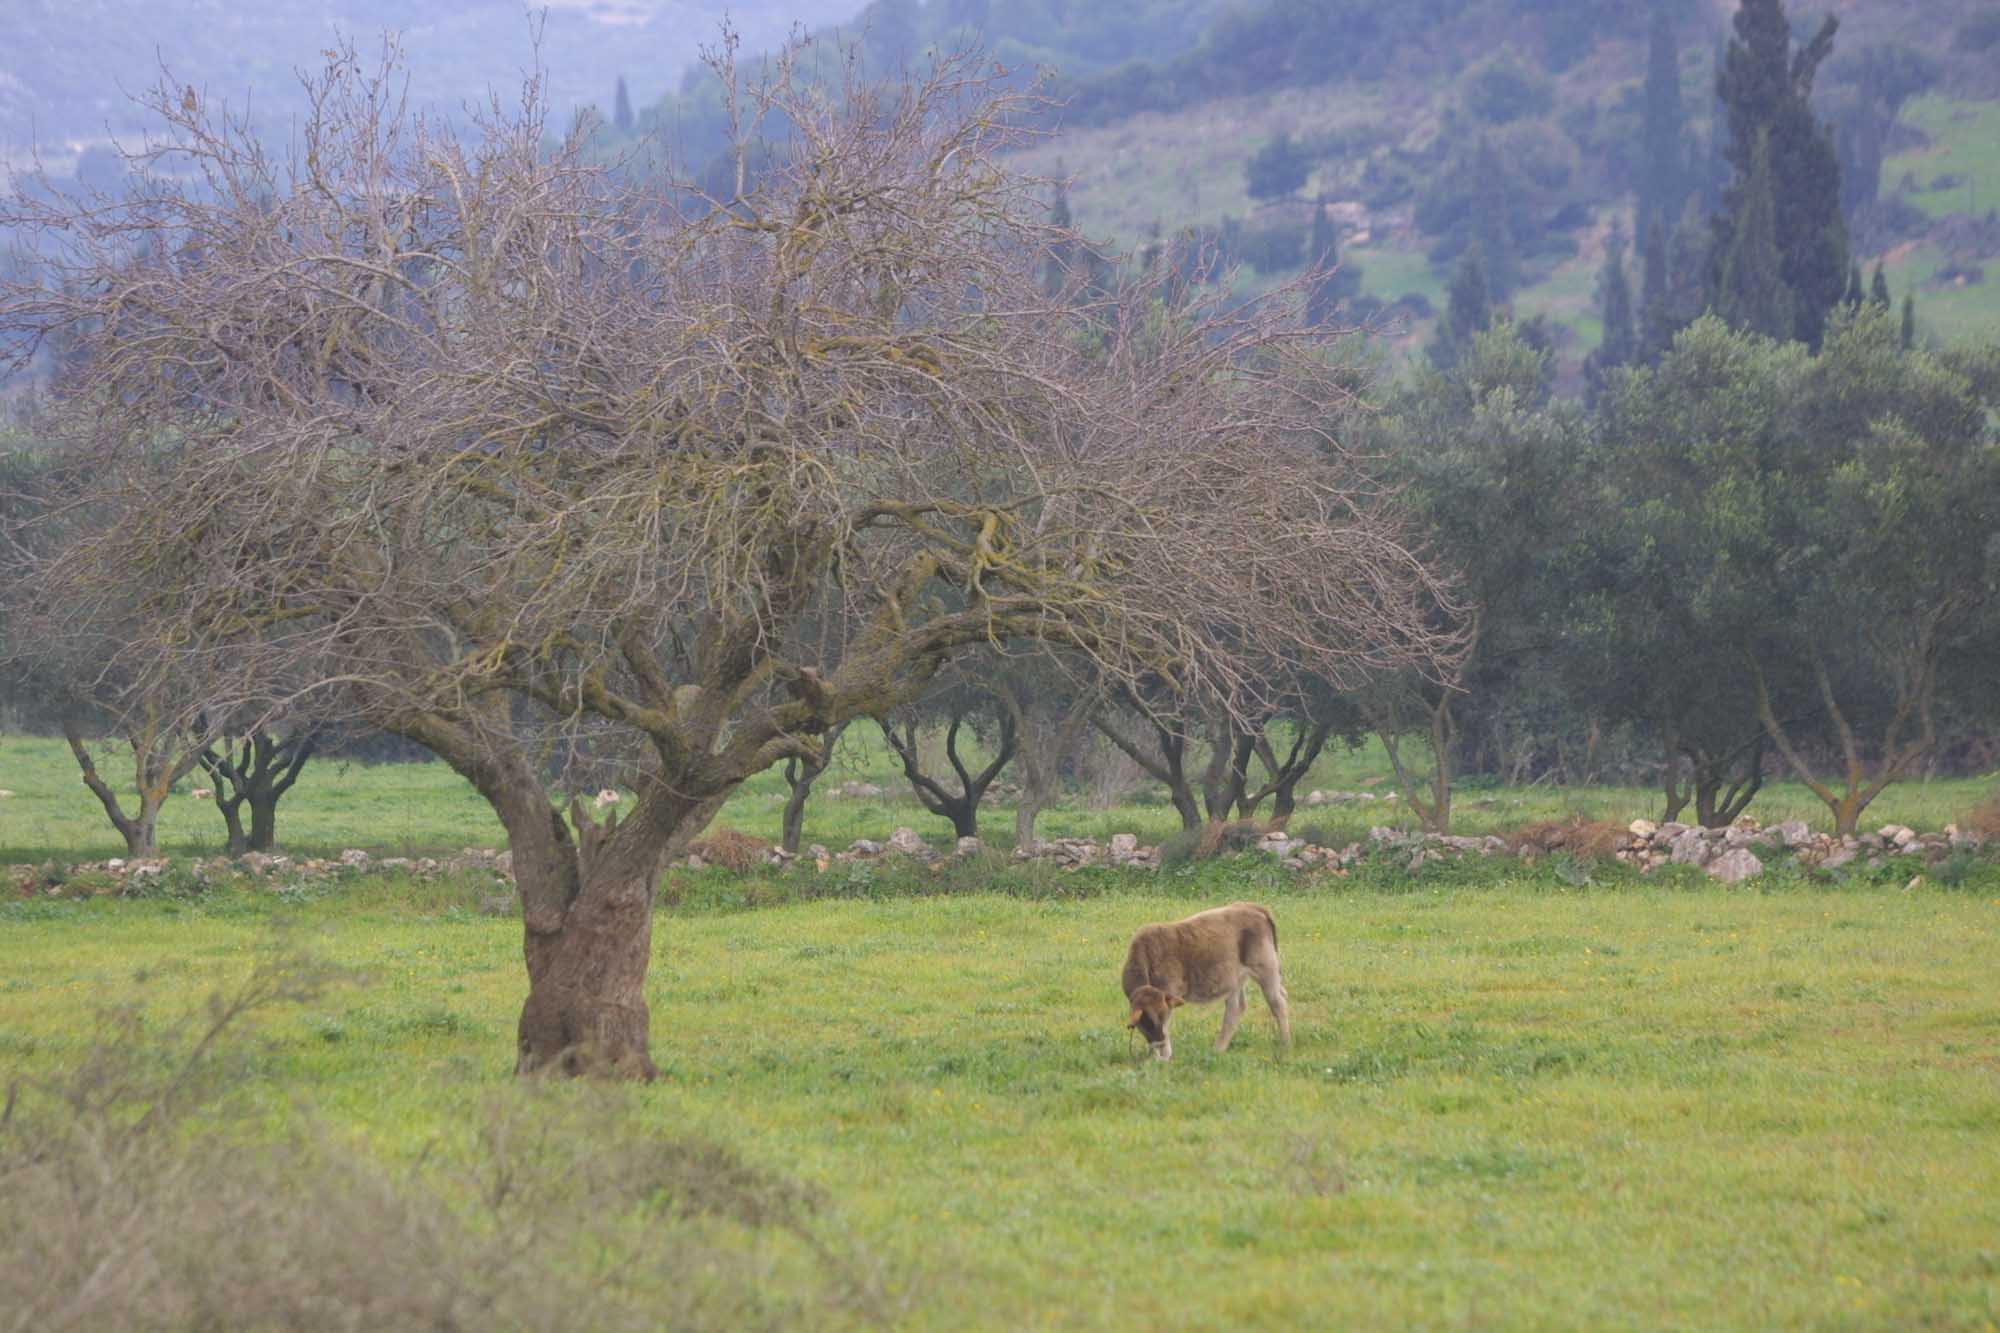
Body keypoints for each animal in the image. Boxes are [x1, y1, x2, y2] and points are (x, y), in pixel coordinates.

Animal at [1120, 892, 1288, 1056]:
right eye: (1148, 1021)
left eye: (1160, 1017)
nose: (1160, 1042)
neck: (1147, 954)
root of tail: (1253, 907)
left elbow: (1167, 1027)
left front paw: (1163, 1056)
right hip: (1236, 980)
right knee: (1235, 1009)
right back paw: (1218, 1049)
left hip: (1267, 972)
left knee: (1277, 1003)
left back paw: (1285, 1044)